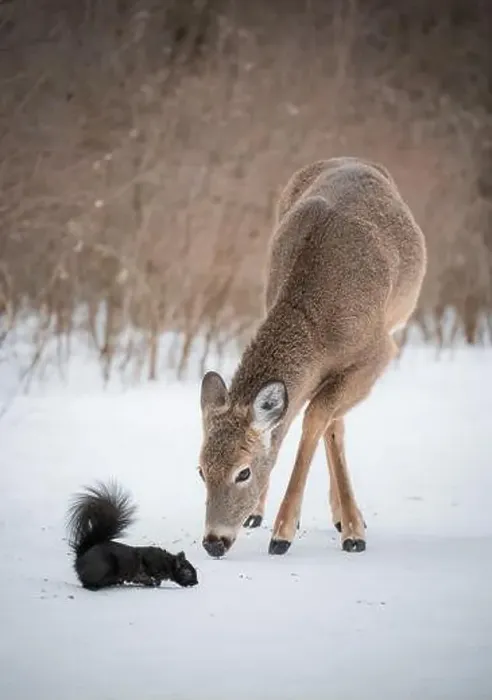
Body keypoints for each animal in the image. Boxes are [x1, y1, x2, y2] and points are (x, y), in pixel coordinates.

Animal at [198, 156, 427, 558]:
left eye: (243, 471)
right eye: (200, 470)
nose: (213, 542)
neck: (318, 326)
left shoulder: (378, 353)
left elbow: (316, 418)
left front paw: (291, 533)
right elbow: (308, 423)